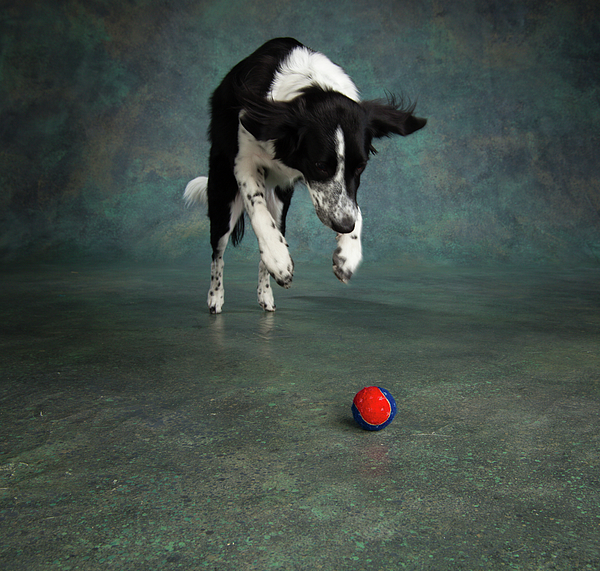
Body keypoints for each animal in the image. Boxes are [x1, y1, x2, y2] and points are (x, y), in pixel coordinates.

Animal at [185, 38, 424, 316]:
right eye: (320, 165)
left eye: (361, 167)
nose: (344, 226)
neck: (311, 84)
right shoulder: (244, 161)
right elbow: (257, 210)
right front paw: (278, 258)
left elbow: (356, 207)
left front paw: (348, 253)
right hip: (223, 194)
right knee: (218, 252)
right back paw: (216, 297)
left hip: (279, 202)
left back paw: (266, 295)